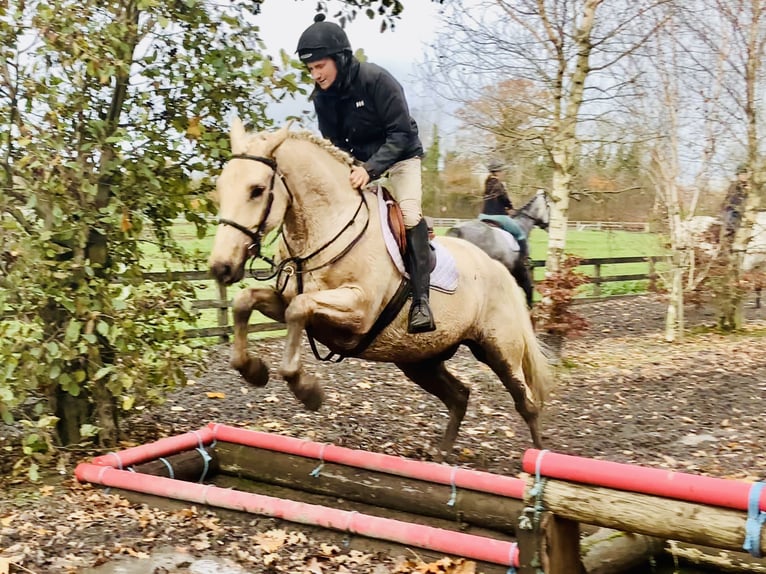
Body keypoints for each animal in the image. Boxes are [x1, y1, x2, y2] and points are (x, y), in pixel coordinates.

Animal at [208, 119, 553, 455]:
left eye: (257, 190)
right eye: (220, 188)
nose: (221, 267)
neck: (327, 229)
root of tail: (496, 267)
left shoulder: (359, 311)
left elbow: (298, 309)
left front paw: (308, 391)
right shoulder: (290, 301)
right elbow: (246, 301)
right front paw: (253, 370)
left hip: (500, 351)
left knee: (527, 403)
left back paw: (537, 462)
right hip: (419, 360)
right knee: (460, 395)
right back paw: (442, 456)